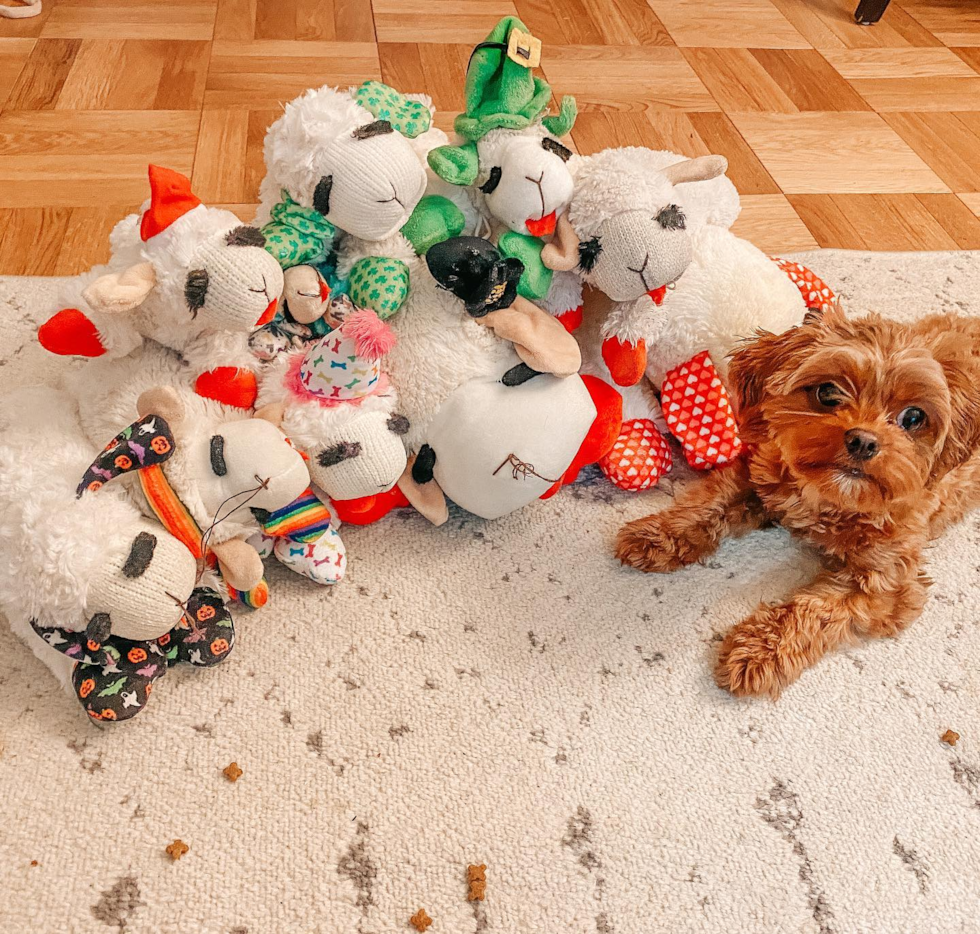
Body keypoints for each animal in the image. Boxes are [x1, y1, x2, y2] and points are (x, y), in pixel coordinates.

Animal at [616, 308, 980, 704]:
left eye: (913, 418)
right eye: (827, 392)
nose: (863, 441)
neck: (828, 499)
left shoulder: (887, 581)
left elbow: (811, 609)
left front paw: (761, 649)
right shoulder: (760, 471)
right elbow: (711, 502)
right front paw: (659, 534)